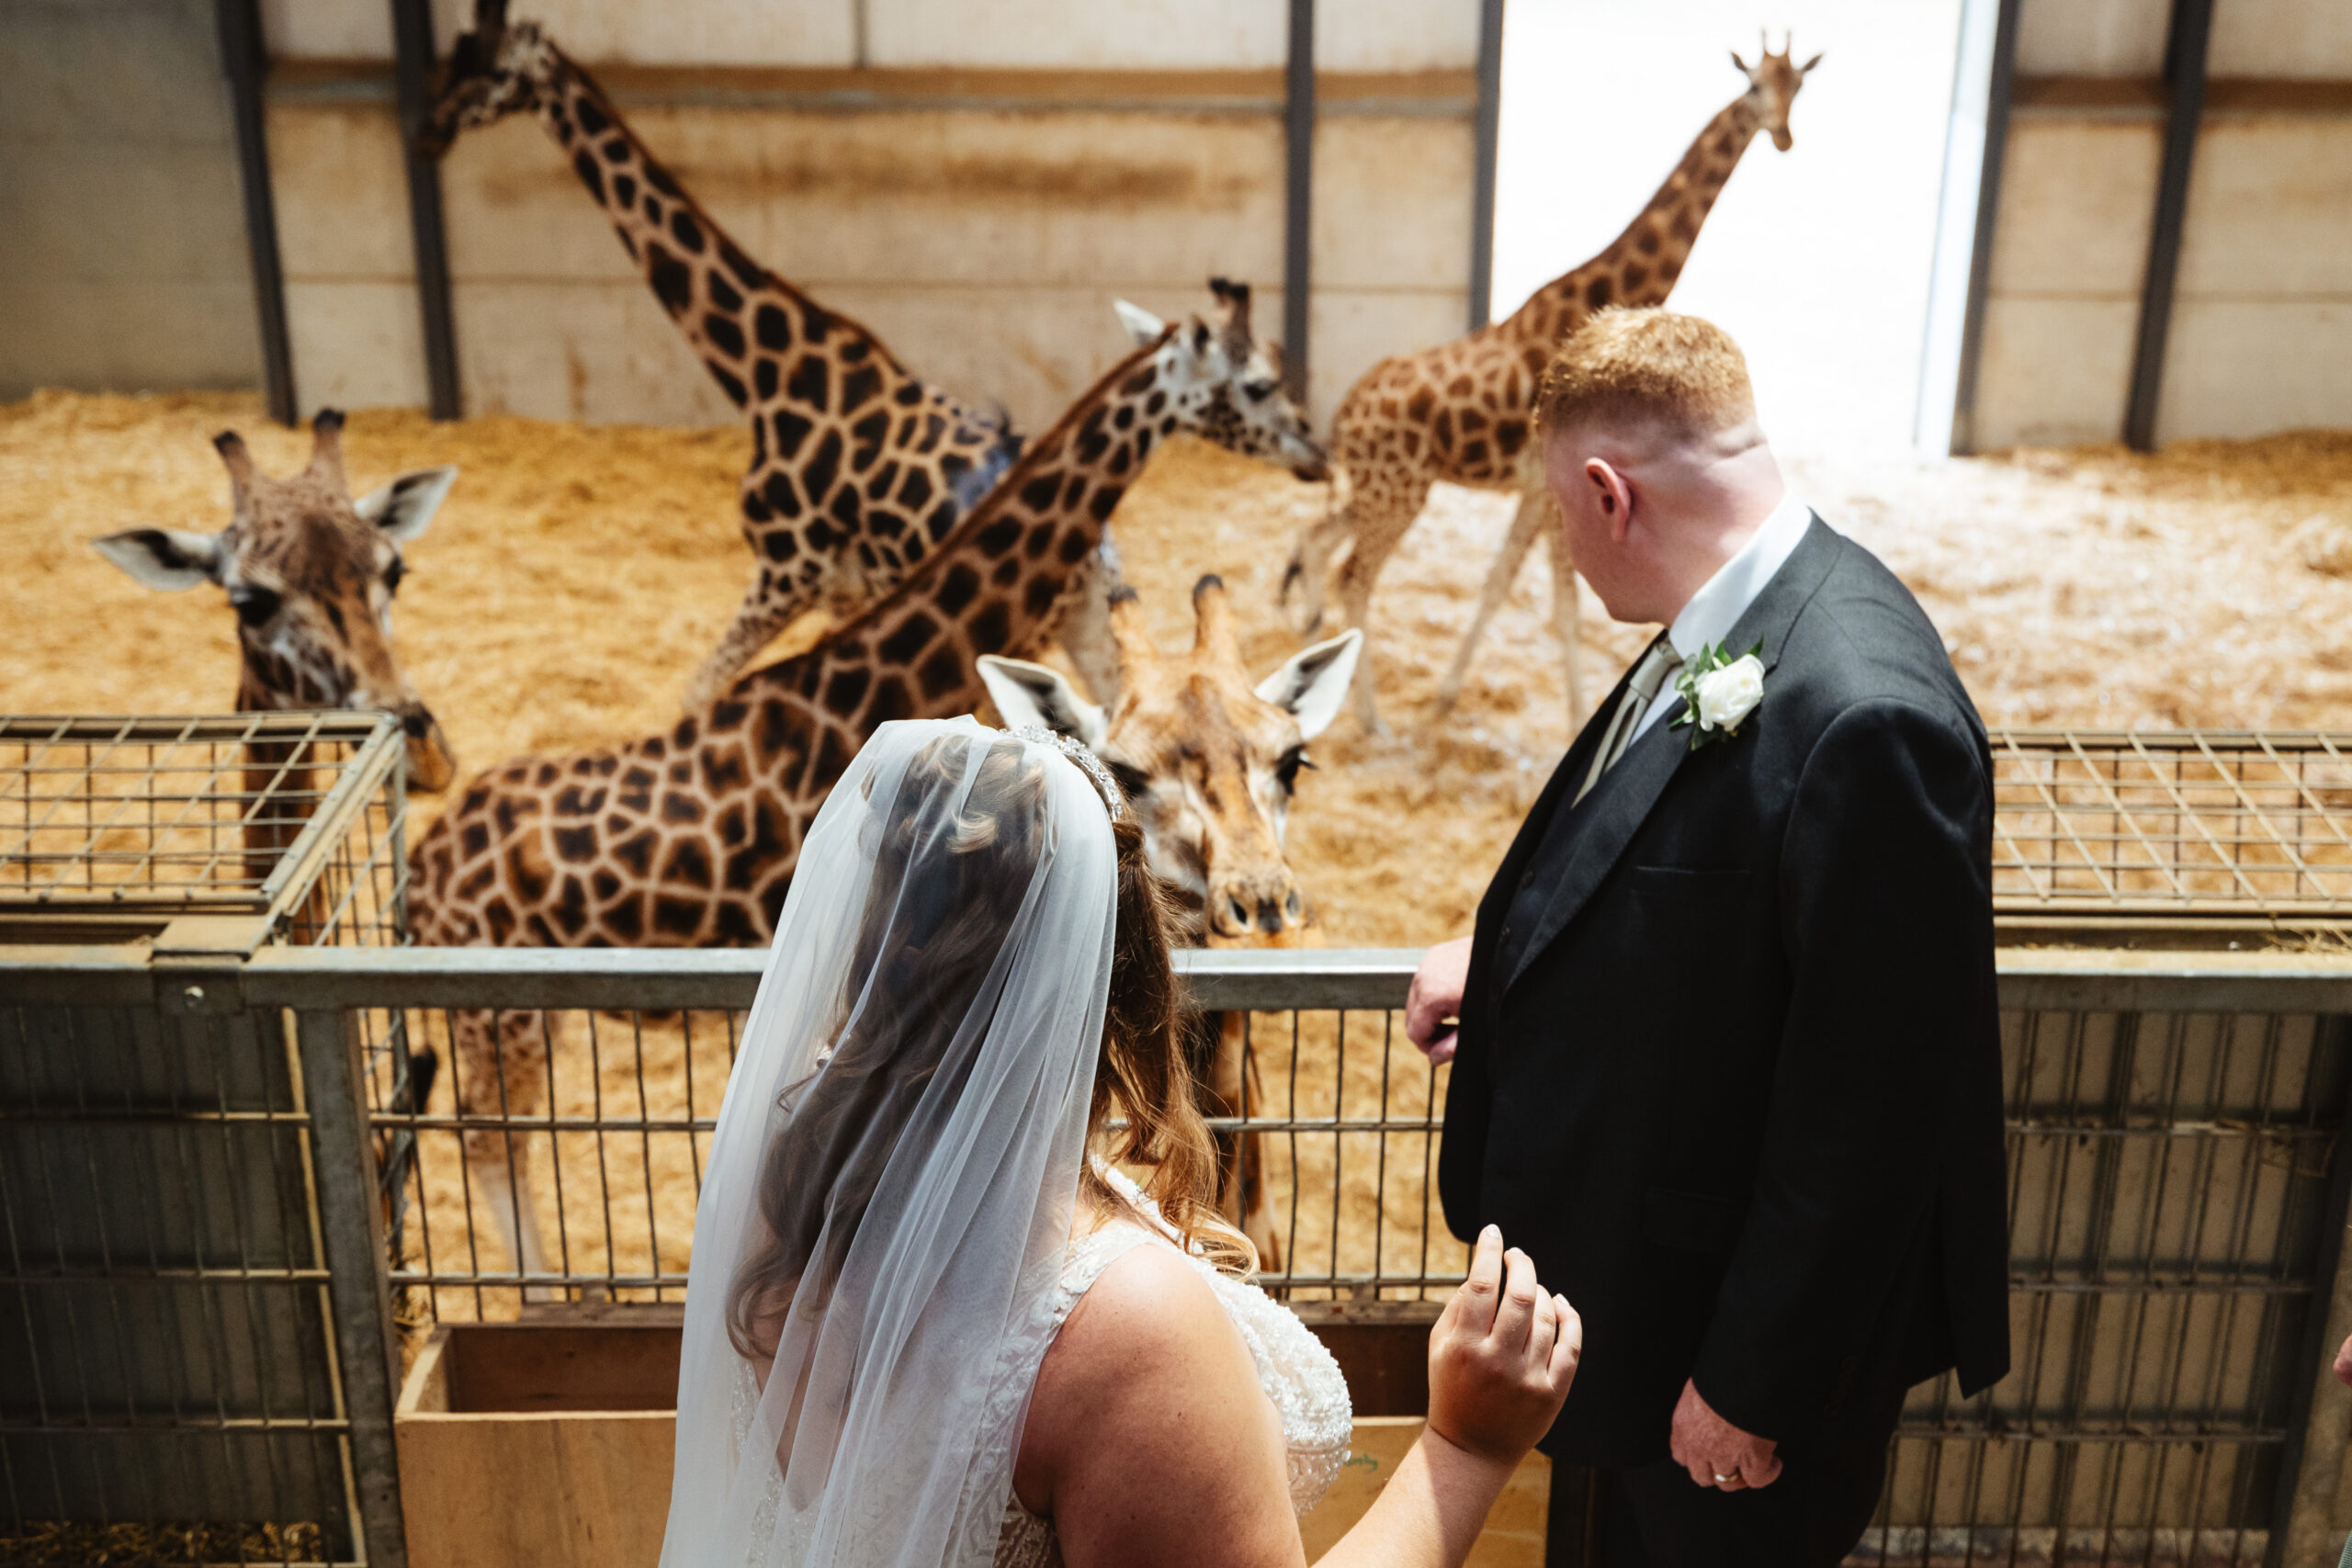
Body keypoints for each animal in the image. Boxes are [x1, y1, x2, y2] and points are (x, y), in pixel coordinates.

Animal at [423, 7, 1336, 709]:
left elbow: (697, 690)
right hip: (1074, 623)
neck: (767, 371)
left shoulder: (786, 570)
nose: (429, 126)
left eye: (485, 70)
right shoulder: (840, 598)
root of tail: (1098, 548)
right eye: (453, 58)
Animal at [1288, 36, 1815, 738]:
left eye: (1797, 87)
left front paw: (1452, 698)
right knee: (1353, 576)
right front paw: (1565, 716)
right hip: (1396, 492)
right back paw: (1370, 719)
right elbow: (1553, 598)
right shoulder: (1551, 485)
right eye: (1755, 86)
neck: (1595, 295)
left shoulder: (1539, 488)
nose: (1782, 136)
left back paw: (1312, 654)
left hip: (1386, 490)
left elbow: (1508, 585)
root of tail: (1345, 413)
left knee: (1318, 543)